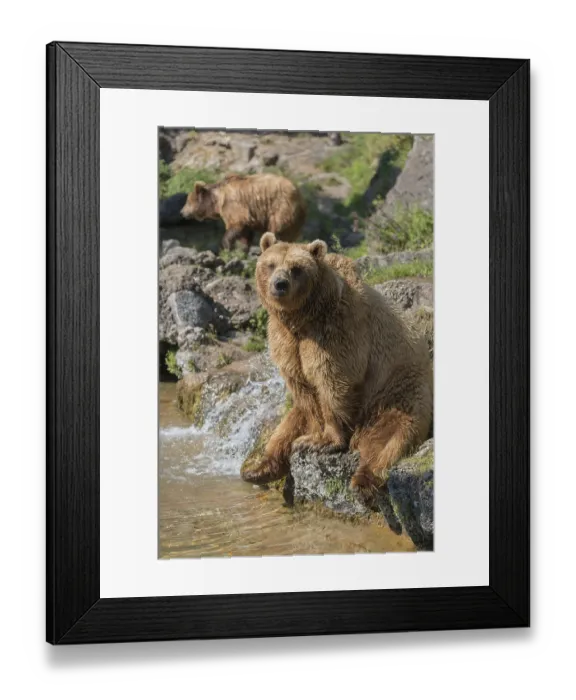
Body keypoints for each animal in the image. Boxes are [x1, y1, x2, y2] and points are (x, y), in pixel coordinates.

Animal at [240, 232, 433, 503]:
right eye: (270, 264)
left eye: (296, 268)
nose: (279, 284)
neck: (303, 317)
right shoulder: (286, 342)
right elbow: (304, 391)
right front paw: (310, 438)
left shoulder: (337, 332)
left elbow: (331, 382)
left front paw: (325, 440)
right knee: (287, 424)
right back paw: (258, 469)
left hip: (395, 395)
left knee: (390, 438)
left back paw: (363, 481)